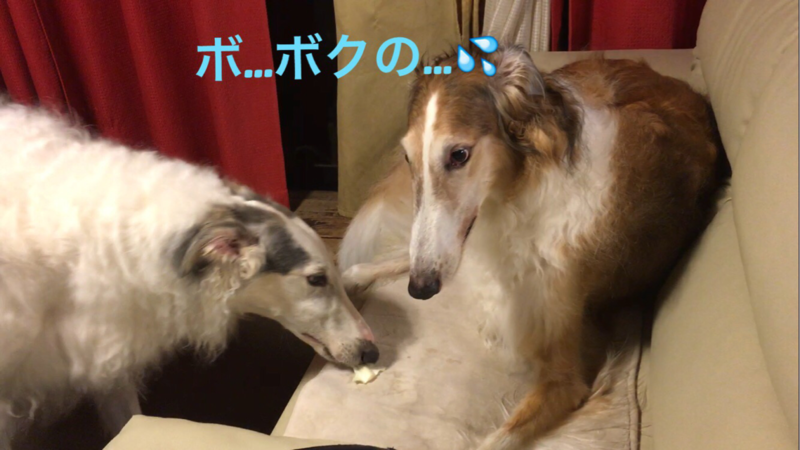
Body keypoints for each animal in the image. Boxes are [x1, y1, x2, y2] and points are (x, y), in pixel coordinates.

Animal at [338, 47, 727, 449]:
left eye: (459, 154)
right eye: (407, 158)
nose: (420, 289)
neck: (516, 199)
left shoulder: (566, 374)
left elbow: (496, 439)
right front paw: (351, 276)